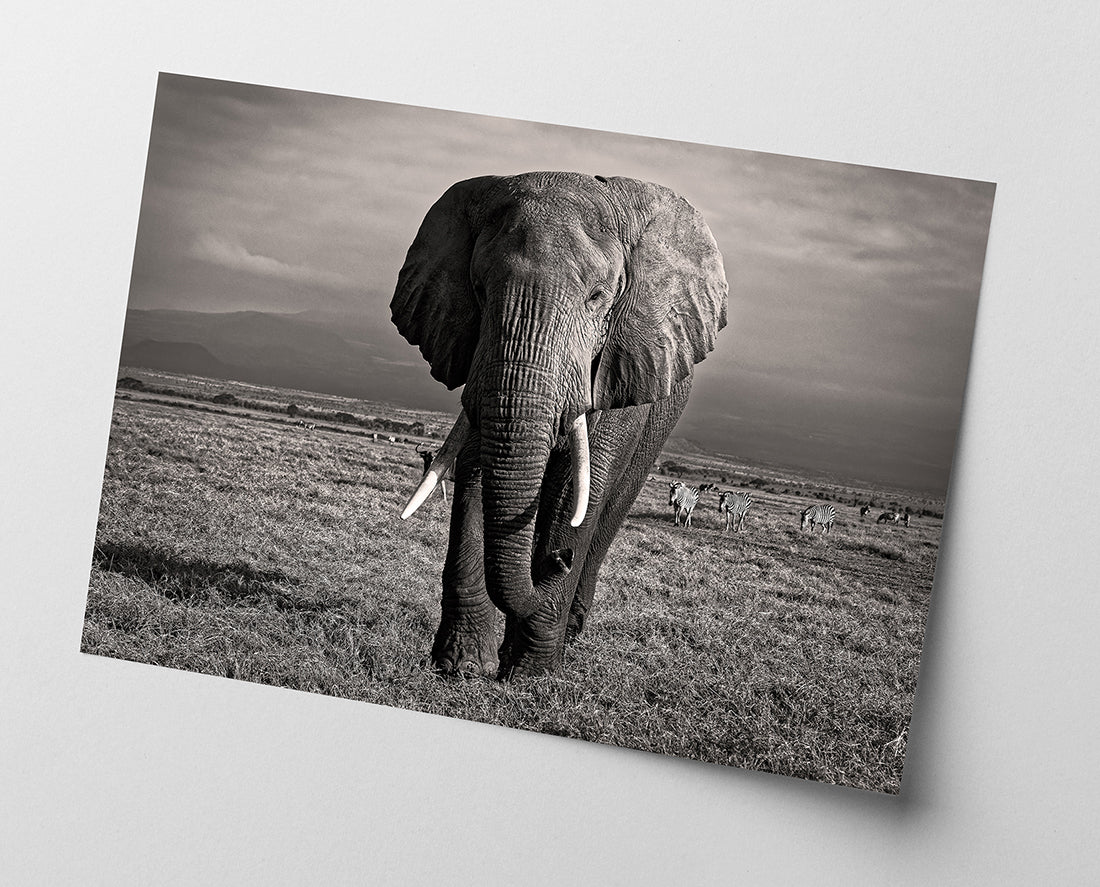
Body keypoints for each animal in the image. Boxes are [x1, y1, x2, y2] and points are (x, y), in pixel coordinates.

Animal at [390, 171, 728, 678]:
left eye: (598, 298)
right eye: (479, 290)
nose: (558, 562)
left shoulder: (620, 362)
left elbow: (578, 485)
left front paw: (531, 676)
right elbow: (476, 464)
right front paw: (462, 667)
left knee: (609, 508)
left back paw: (568, 628)